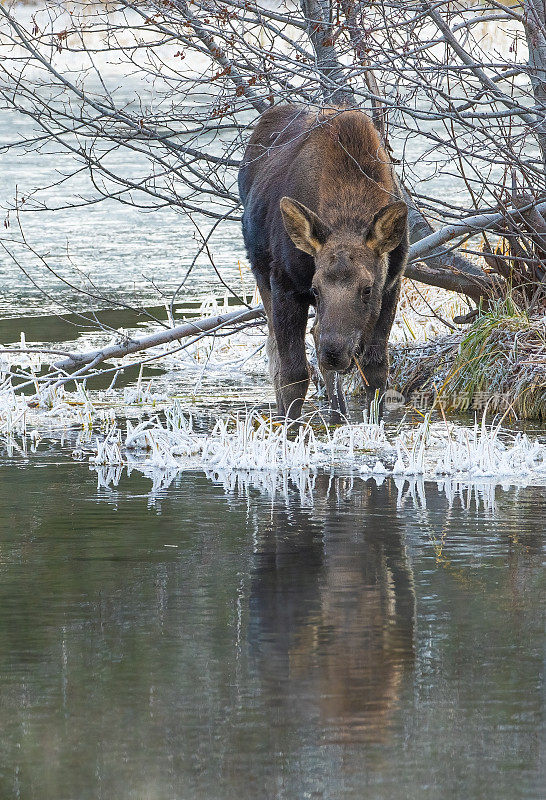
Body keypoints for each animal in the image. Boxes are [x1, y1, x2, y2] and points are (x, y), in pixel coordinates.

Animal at [238, 104, 408, 418]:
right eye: (315, 289)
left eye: (367, 289)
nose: (335, 353)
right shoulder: (286, 285)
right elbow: (293, 374)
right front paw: (289, 426)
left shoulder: (392, 284)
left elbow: (376, 369)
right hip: (261, 272)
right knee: (277, 352)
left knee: (316, 337)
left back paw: (338, 412)